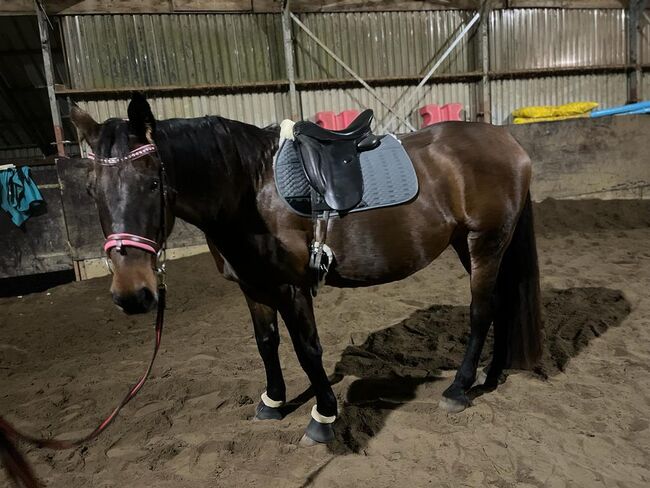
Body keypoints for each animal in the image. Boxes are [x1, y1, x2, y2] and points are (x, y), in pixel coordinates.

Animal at [2, 90, 540, 480]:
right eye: (91, 190)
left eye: (152, 184)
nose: (133, 294)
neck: (248, 190)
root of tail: (509, 144)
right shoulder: (253, 287)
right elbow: (266, 343)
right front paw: (273, 403)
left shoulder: (291, 288)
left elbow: (307, 349)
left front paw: (322, 419)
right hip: (471, 246)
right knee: (501, 307)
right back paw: (493, 376)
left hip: (485, 244)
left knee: (481, 311)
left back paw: (460, 388)